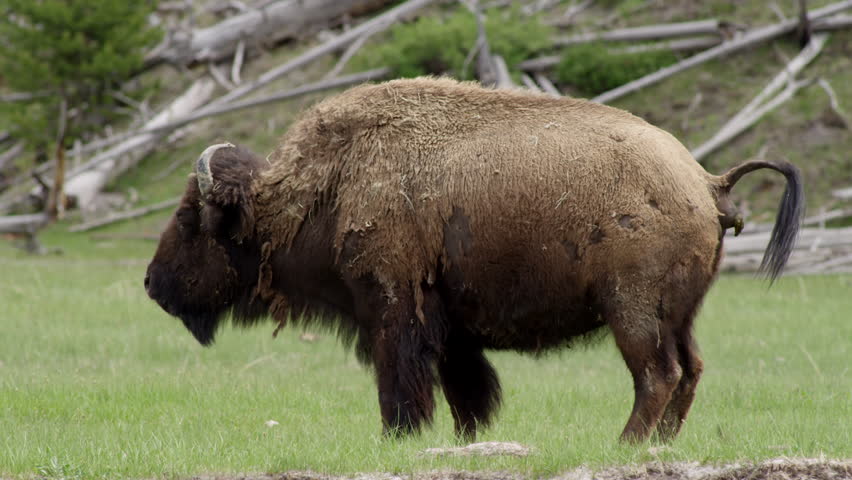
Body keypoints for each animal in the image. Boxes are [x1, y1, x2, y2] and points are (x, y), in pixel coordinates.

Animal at [143, 78, 804, 442]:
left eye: (190, 219)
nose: (151, 283)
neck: (322, 189)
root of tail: (706, 180)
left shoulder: (393, 312)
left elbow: (401, 386)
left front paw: (399, 439)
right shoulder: (451, 329)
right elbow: (467, 393)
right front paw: (465, 438)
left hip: (633, 312)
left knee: (657, 376)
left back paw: (624, 445)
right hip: (679, 315)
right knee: (689, 371)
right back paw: (658, 447)